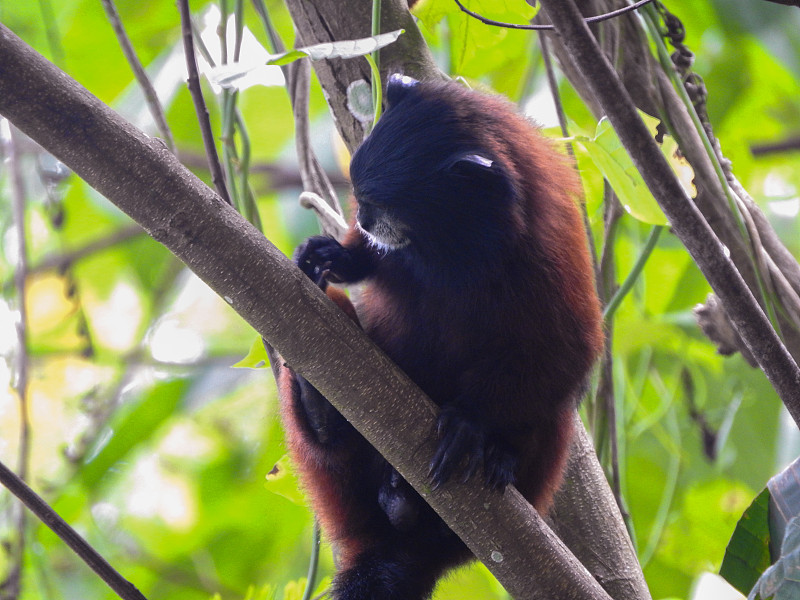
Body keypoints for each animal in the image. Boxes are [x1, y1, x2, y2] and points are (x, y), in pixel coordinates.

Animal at [278, 75, 604, 600]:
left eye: (383, 206)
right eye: (363, 202)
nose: (365, 219)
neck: (455, 248)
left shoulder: (550, 252)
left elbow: (565, 355)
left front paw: (473, 425)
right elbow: (361, 265)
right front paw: (338, 256)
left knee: (553, 410)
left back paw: (485, 465)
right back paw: (320, 411)